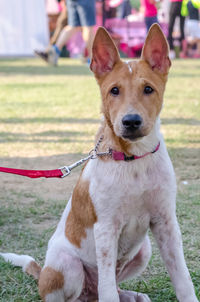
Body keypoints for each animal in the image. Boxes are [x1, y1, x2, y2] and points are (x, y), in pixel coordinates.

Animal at [0, 24, 198, 300]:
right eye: (114, 90)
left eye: (148, 89)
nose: (131, 121)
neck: (133, 160)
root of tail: (43, 273)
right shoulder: (105, 228)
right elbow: (107, 289)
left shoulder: (166, 222)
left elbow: (183, 279)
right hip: (68, 265)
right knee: (84, 292)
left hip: (144, 249)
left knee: (110, 287)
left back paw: (133, 295)